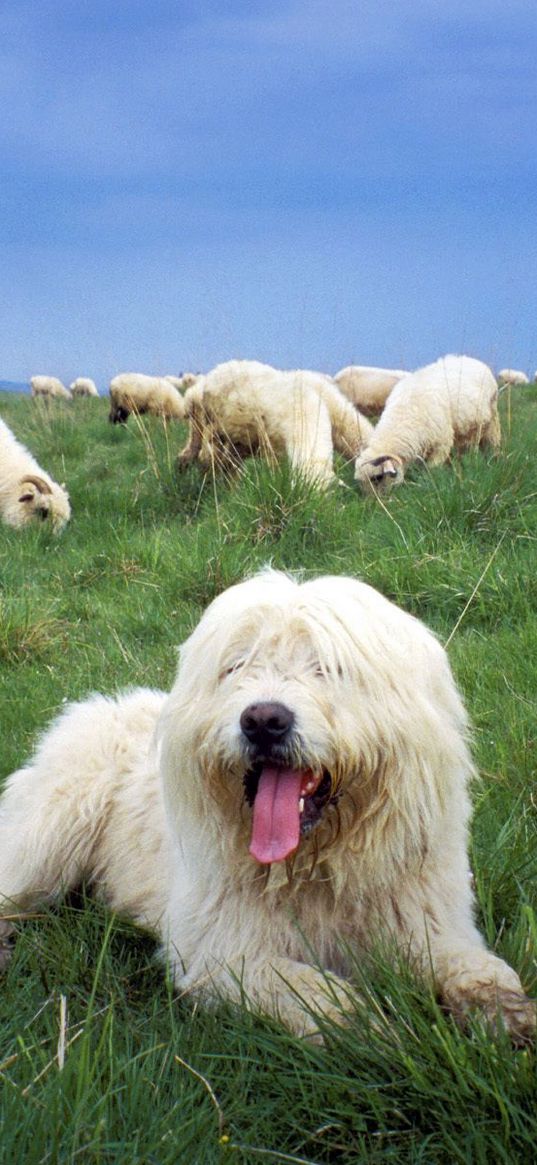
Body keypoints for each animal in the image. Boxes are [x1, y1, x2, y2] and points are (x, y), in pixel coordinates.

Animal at [0, 570, 531, 1039]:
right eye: (237, 665)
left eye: (327, 667)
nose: (263, 720)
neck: (315, 869)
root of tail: (99, 705)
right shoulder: (224, 954)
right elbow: (312, 993)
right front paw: (376, 1032)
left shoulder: (430, 925)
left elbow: (475, 966)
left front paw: (506, 1013)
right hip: (51, 835)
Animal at [354, 349, 500, 486]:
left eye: (377, 478)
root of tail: (474, 360)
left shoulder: (442, 443)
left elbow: (432, 469)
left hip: (492, 418)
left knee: (492, 441)